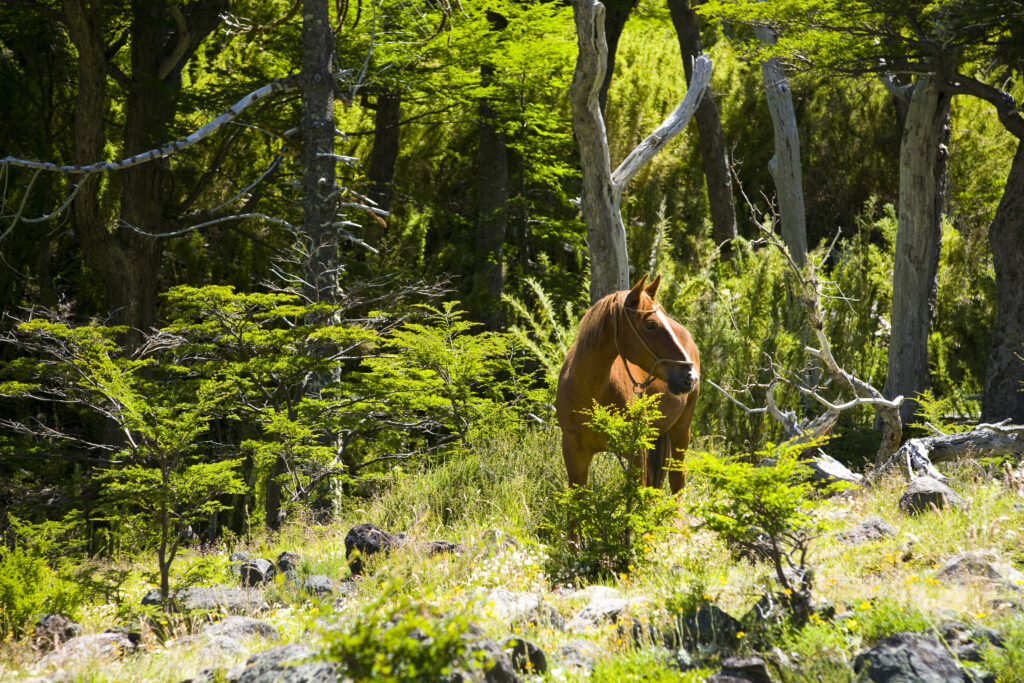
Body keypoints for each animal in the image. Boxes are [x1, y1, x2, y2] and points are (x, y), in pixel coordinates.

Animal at [555, 273, 701, 504]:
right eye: (650, 325)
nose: (690, 376)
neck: (592, 392)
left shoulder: (636, 451)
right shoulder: (573, 453)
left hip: (681, 429)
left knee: (677, 481)